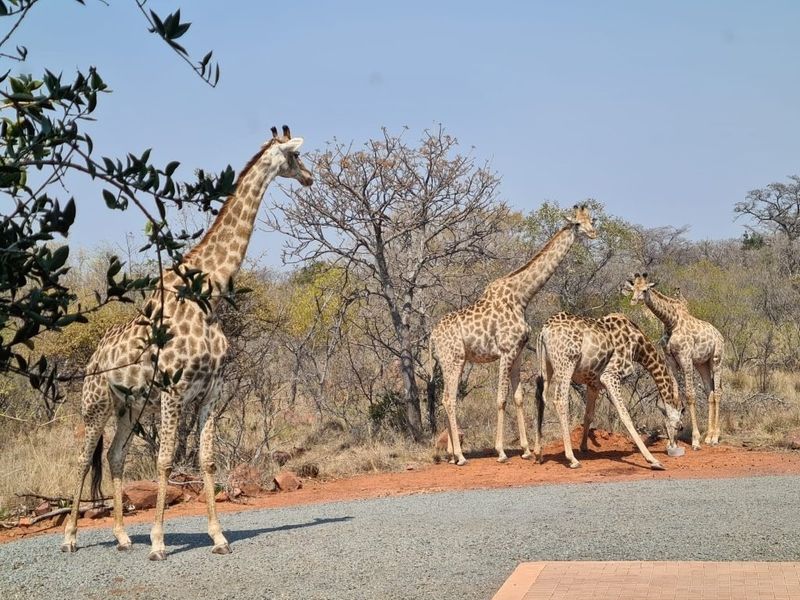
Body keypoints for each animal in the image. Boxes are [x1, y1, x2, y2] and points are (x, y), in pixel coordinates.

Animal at [61, 126, 313, 560]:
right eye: (295, 157)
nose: (310, 178)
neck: (206, 295)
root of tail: (93, 360)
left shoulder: (211, 391)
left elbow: (207, 461)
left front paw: (219, 537)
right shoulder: (173, 390)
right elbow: (164, 462)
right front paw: (159, 543)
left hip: (130, 406)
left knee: (114, 455)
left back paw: (123, 537)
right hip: (95, 403)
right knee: (82, 459)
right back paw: (71, 538)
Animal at [430, 205, 597, 466]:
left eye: (591, 219)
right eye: (577, 224)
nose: (593, 233)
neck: (522, 297)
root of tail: (432, 336)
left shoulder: (517, 351)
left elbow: (518, 396)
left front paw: (527, 450)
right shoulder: (506, 351)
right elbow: (501, 398)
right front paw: (501, 452)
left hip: (453, 361)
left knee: (446, 399)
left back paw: (451, 455)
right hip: (453, 360)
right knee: (448, 399)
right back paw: (460, 456)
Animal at [534, 312, 685, 469]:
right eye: (679, 426)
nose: (673, 445)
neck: (638, 347)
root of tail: (544, 331)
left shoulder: (593, 383)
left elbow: (589, 415)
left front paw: (584, 447)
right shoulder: (610, 376)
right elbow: (625, 415)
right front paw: (653, 460)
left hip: (545, 365)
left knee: (540, 397)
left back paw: (538, 453)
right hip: (566, 363)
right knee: (559, 400)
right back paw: (572, 459)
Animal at [624, 272, 725, 450]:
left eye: (645, 290)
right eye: (633, 288)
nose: (634, 300)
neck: (671, 321)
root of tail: (720, 335)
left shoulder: (685, 358)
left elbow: (690, 396)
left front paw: (695, 440)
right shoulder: (670, 360)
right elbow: (676, 397)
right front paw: (674, 439)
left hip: (716, 360)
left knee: (718, 392)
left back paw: (714, 438)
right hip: (702, 364)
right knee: (710, 393)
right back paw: (708, 436)